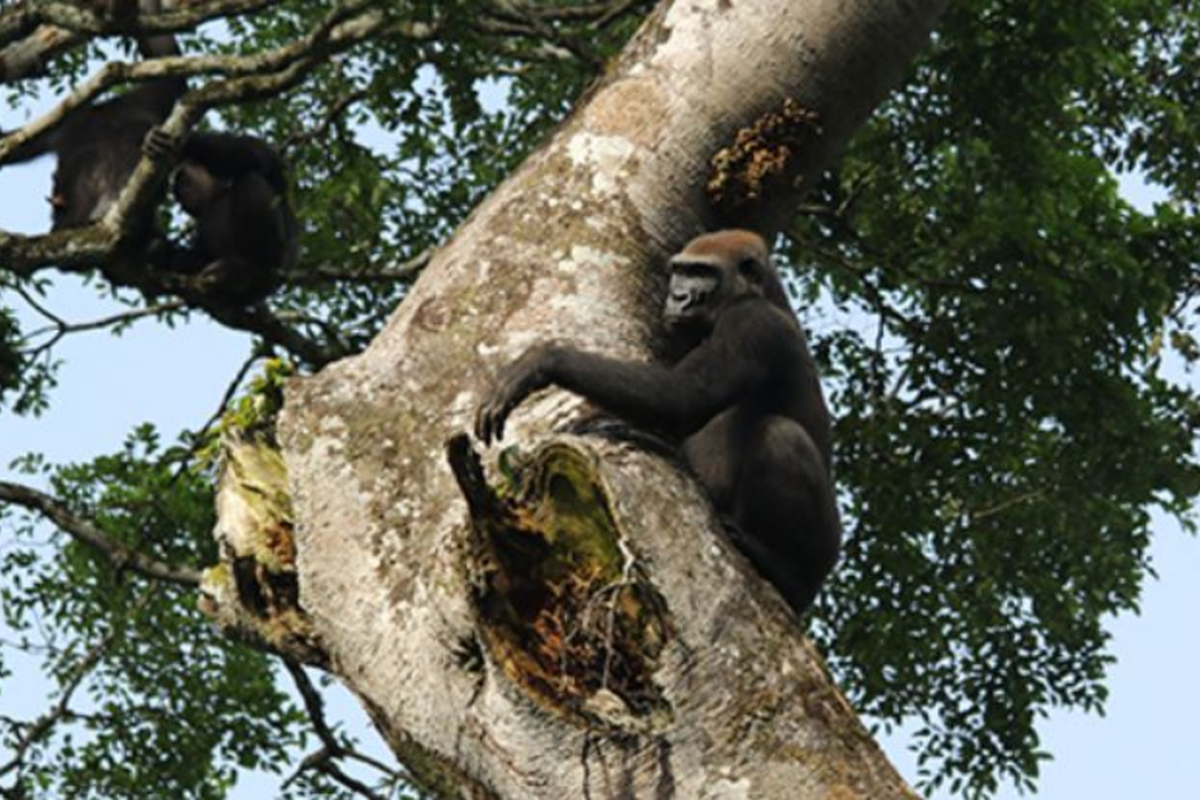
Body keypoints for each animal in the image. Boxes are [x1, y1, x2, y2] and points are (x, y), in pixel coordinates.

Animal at [143, 130, 300, 309]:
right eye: (177, 192)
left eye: (183, 181)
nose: (180, 194)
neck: (217, 195)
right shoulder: (201, 226)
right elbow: (198, 257)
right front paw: (159, 250)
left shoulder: (261, 151)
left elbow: (254, 156)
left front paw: (186, 141)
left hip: (274, 268)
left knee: (251, 182)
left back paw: (249, 267)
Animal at [472, 227, 840, 618]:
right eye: (680, 270)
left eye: (703, 272)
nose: (678, 297)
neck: (764, 293)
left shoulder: (753, 323)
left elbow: (681, 397)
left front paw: (544, 361)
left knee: (782, 436)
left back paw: (785, 572)